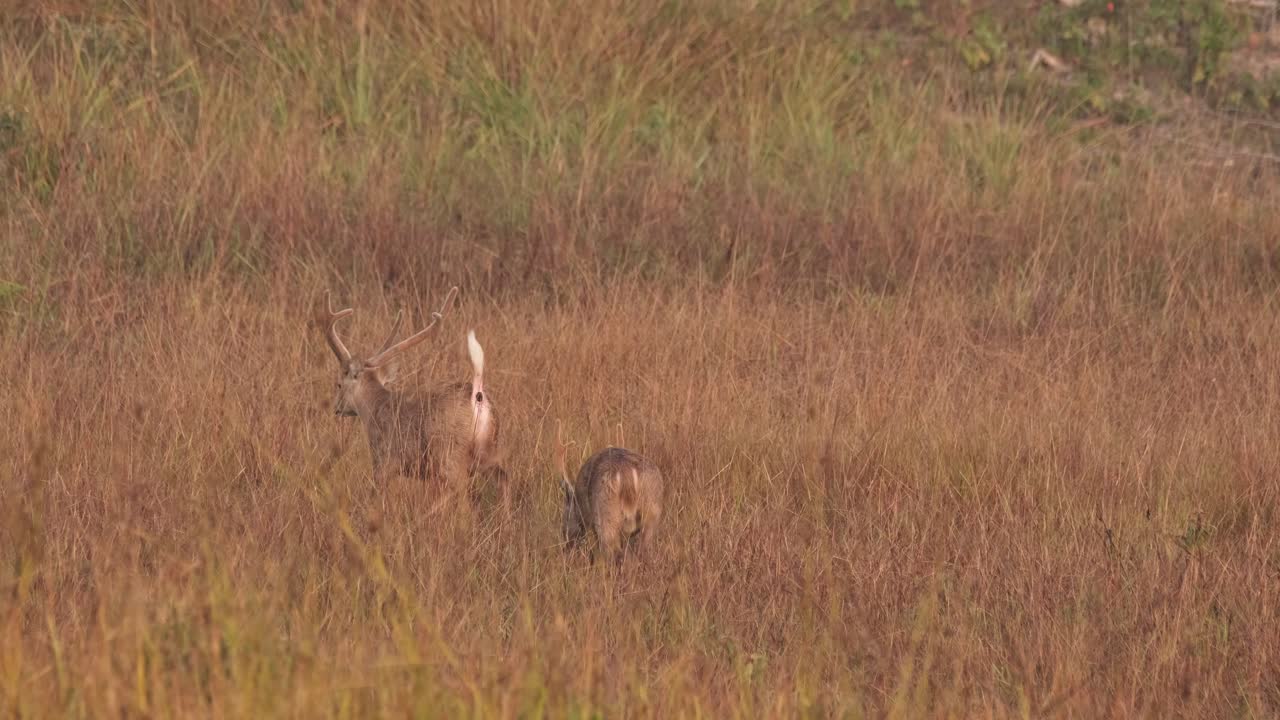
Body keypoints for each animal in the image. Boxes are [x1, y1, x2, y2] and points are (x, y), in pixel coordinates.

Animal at [319, 286, 503, 495]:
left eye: (339, 384)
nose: (336, 408)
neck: (372, 407)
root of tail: (477, 396)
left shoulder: (384, 460)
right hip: (490, 449)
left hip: (451, 455)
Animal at [554, 423, 664, 563]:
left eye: (565, 517)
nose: (566, 543)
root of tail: (627, 475)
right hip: (652, 511)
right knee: (644, 551)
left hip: (606, 515)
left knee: (614, 554)